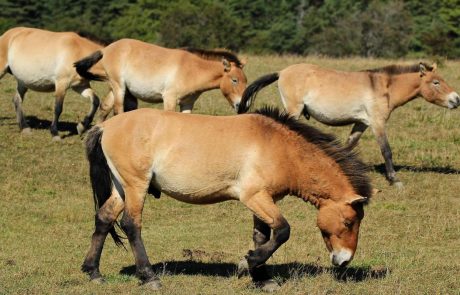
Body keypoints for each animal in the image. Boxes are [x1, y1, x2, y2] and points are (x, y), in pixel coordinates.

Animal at [74, 38, 248, 121]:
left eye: (245, 81)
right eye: (234, 80)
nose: (243, 106)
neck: (191, 69)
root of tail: (106, 49)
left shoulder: (187, 103)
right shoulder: (169, 99)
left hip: (116, 87)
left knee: (104, 108)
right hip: (119, 87)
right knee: (117, 111)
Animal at [82, 107, 372, 292]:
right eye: (349, 222)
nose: (344, 261)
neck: (280, 148)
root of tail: (105, 126)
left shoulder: (263, 200)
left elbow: (263, 237)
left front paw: (262, 278)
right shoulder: (254, 196)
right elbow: (282, 231)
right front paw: (249, 263)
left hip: (122, 189)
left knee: (104, 219)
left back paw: (93, 272)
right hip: (136, 186)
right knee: (131, 225)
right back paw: (149, 277)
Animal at [237, 62, 460, 187]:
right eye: (436, 82)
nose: (456, 99)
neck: (383, 87)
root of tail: (282, 72)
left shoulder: (361, 124)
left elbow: (348, 146)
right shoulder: (377, 123)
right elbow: (386, 151)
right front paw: (394, 180)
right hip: (294, 110)